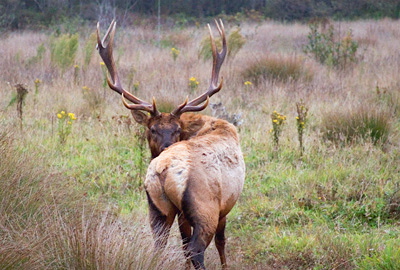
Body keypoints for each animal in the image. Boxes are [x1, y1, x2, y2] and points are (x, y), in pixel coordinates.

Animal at [97, 19, 245, 270]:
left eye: (176, 129)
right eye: (152, 129)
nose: (165, 147)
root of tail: (162, 170)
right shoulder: (225, 207)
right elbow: (221, 242)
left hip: (158, 208)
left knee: (160, 246)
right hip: (204, 208)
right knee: (196, 249)